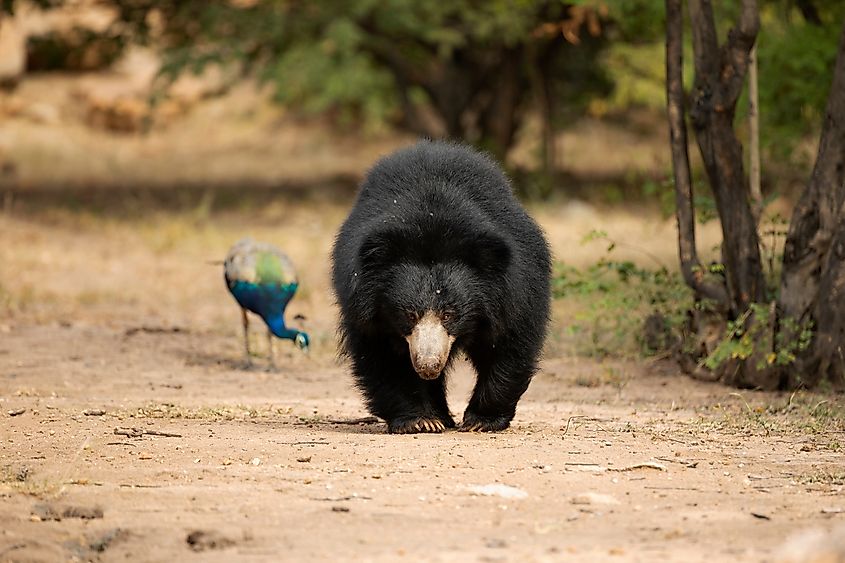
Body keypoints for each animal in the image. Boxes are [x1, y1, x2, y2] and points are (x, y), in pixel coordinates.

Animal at [331, 140, 551, 434]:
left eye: (449, 314)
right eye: (409, 314)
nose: (428, 366)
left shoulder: (516, 286)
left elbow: (509, 344)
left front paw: (480, 421)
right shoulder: (365, 302)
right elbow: (382, 355)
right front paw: (420, 420)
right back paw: (438, 416)